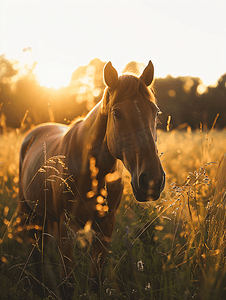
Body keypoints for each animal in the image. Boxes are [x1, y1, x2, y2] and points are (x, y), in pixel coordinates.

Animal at [18, 59, 165, 294]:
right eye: (117, 113)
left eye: (155, 112)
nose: (152, 181)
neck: (91, 170)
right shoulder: (66, 226)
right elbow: (67, 284)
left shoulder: (106, 226)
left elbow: (96, 282)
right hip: (28, 211)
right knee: (34, 252)